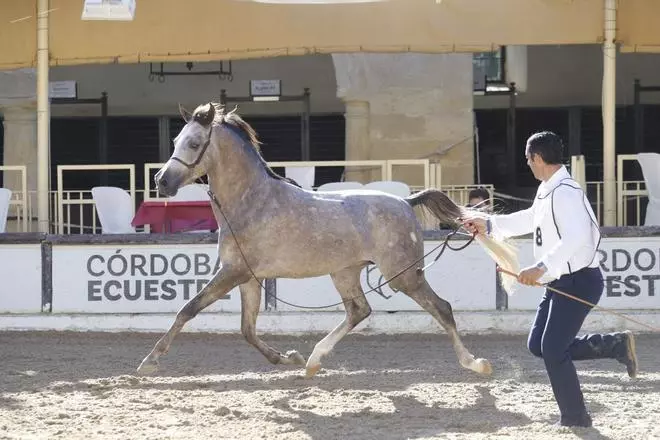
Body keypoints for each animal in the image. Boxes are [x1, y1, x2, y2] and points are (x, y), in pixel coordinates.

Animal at [136, 102, 520, 378]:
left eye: (194, 143)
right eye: (176, 142)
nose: (161, 181)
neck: (251, 202)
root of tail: (405, 202)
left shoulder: (231, 273)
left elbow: (188, 309)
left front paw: (150, 361)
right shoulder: (248, 277)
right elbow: (247, 329)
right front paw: (287, 357)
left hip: (403, 276)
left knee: (441, 308)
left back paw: (475, 363)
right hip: (346, 272)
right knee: (359, 310)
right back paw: (313, 361)